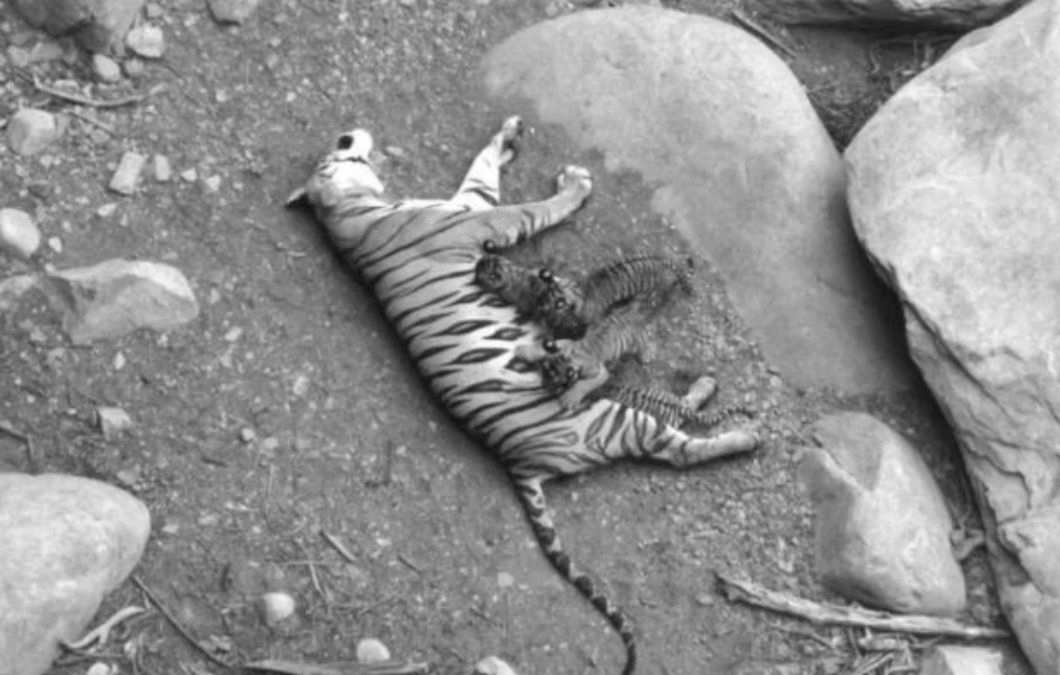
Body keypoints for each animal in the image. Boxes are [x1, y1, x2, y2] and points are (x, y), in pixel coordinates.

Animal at [286, 115, 759, 675]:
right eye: (335, 152)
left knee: (678, 413)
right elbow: (535, 208)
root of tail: (519, 464)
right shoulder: (483, 221)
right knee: (679, 446)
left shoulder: (471, 200)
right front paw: (576, 185)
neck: (354, 214)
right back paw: (747, 435)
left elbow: (482, 165)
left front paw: (508, 136)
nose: (347, 133)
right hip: (610, 417)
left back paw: (707, 388)